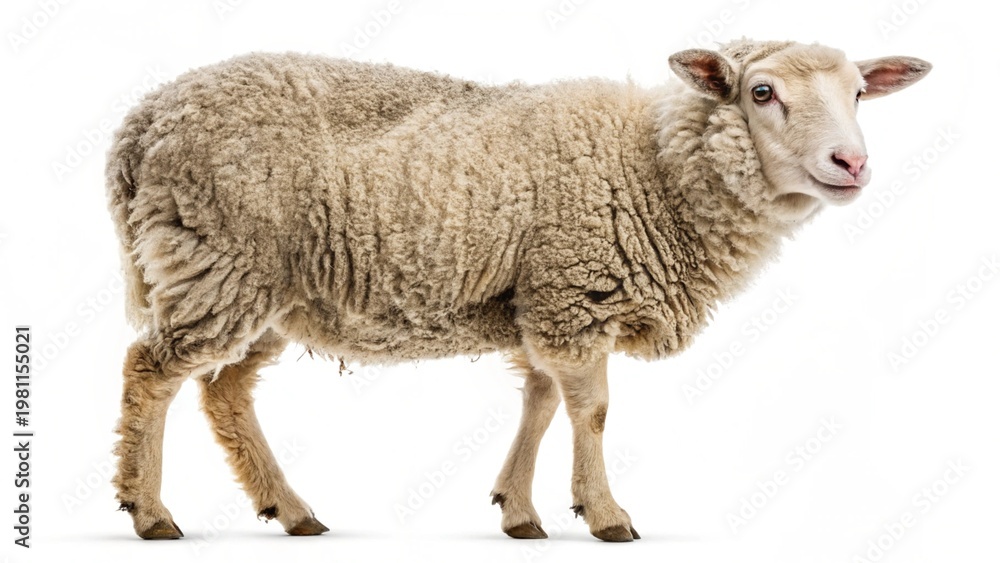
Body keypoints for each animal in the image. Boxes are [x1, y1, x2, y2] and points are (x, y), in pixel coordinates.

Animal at [105, 38, 930, 541]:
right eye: (762, 91)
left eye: (861, 92)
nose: (852, 163)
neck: (653, 170)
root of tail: (142, 121)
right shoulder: (573, 290)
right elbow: (591, 410)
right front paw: (605, 513)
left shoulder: (542, 297)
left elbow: (538, 401)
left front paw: (521, 510)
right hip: (219, 257)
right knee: (151, 371)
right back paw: (149, 510)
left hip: (267, 287)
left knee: (223, 390)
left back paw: (290, 507)